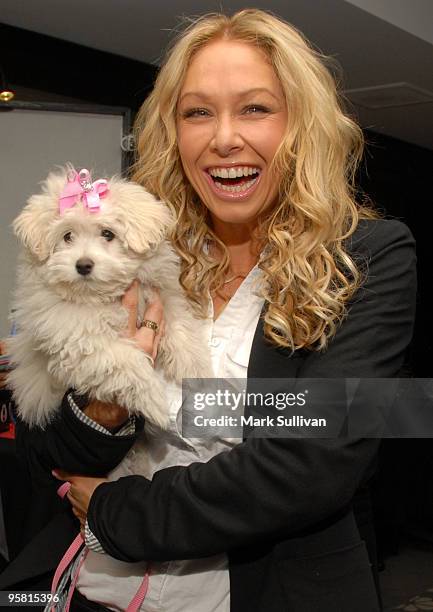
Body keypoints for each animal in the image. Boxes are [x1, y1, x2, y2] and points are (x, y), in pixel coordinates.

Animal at [6, 165, 209, 428]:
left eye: (107, 234)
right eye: (67, 236)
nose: (83, 265)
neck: (102, 297)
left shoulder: (161, 295)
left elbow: (179, 324)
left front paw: (195, 368)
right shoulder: (78, 338)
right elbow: (124, 360)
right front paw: (153, 401)